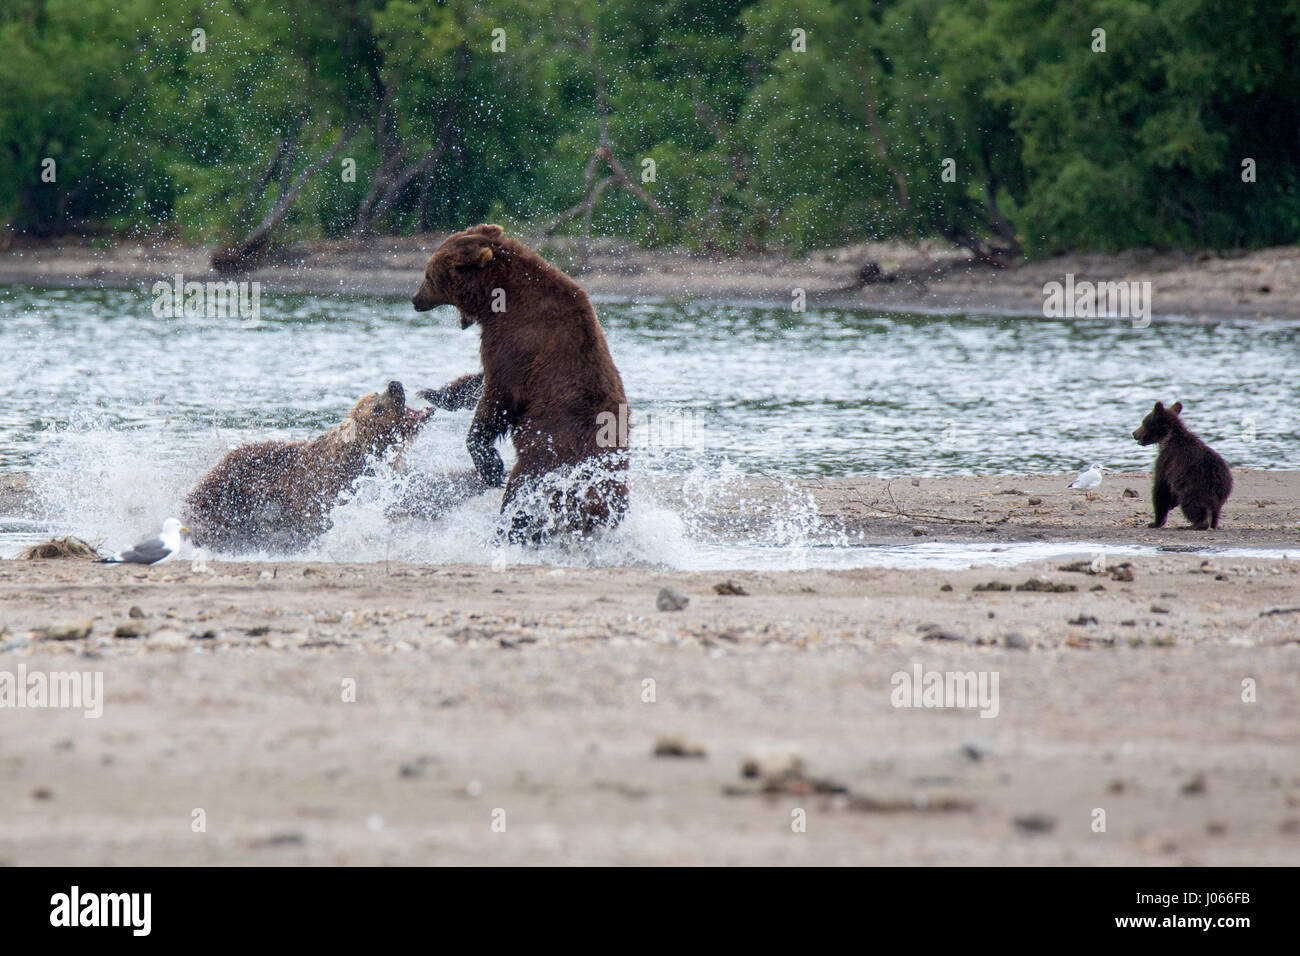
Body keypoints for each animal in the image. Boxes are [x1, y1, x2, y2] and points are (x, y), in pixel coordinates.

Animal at [408, 222, 626, 538]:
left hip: (550, 457)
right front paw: (436, 393)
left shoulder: (521, 341)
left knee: (522, 491)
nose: (415, 300)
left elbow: (498, 398)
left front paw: (490, 465)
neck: (496, 300)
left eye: (428, 276)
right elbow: (481, 380)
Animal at [1133, 398, 1232, 530]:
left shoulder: (1167, 460)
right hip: (1219, 494)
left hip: (1196, 486)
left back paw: (1195, 524)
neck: (1167, 437)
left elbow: (1161, 487)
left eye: (1143, 422)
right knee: (1215, 512)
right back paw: (1213, 523)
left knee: (1191, 503)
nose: (1134, 433)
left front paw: (1155, 522)